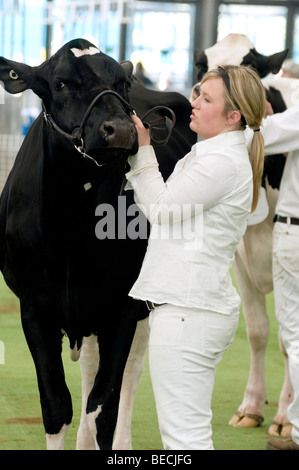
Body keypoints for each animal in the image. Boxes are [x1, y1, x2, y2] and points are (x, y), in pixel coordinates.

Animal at [0, 38, 197, 450]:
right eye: (60, 83)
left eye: (121, 83)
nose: (120, 128)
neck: (72, 229)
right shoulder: (33, 306)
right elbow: (56, 407)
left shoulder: (123, 304)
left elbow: (103, 407)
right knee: (91, 367)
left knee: (130, 371)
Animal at [193, 34, 299, 436]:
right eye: (200, 64)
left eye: (251, 65)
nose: (200, 91)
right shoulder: (239, 257)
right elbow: (257, 332)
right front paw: (251, 406)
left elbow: (287, 339)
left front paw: (285, 417)